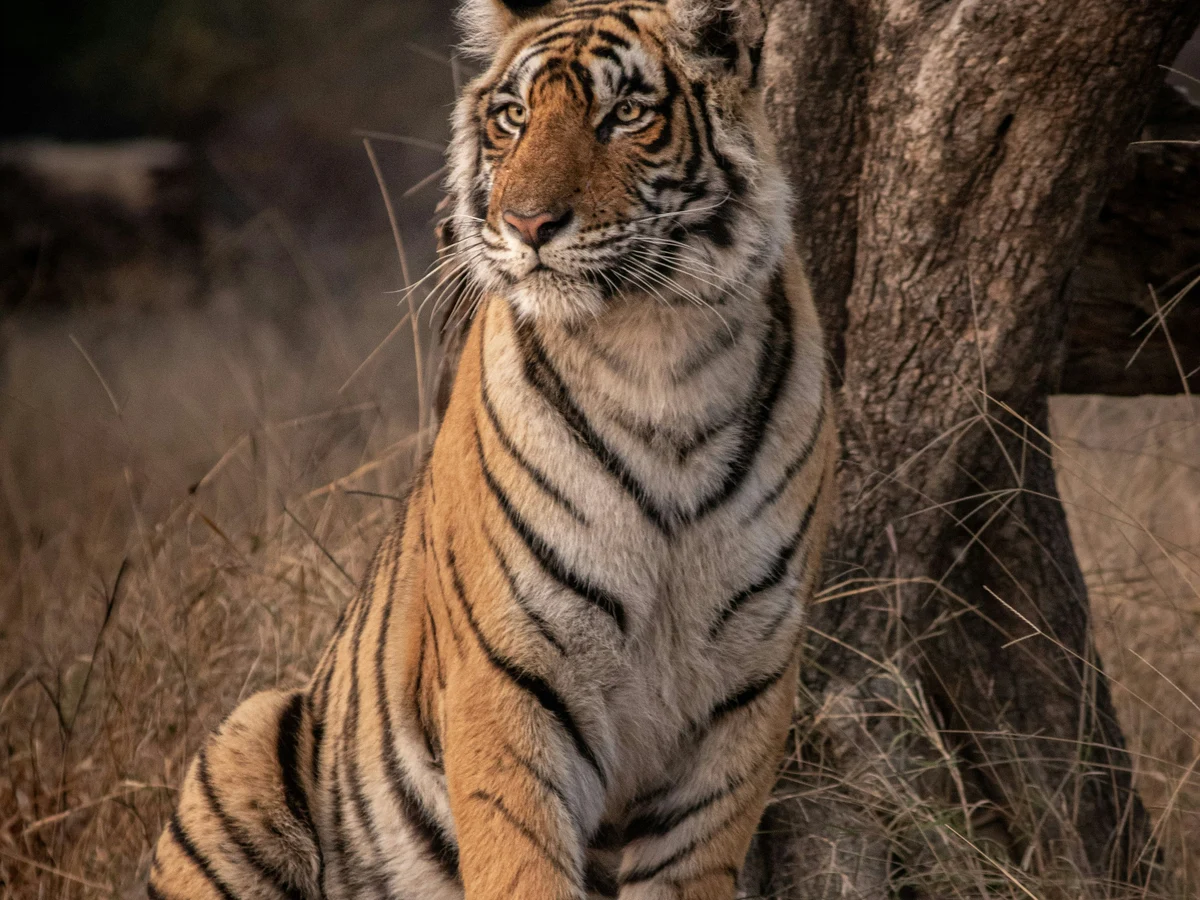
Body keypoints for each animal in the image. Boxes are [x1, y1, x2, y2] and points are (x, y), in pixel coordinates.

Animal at [147, 0, 836, 897]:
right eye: (513, 116)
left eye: (625, 114)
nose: (527, 224)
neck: (657, 356)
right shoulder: (511, 676)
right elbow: (521, 864)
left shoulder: (741, 694)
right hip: (246, 738)